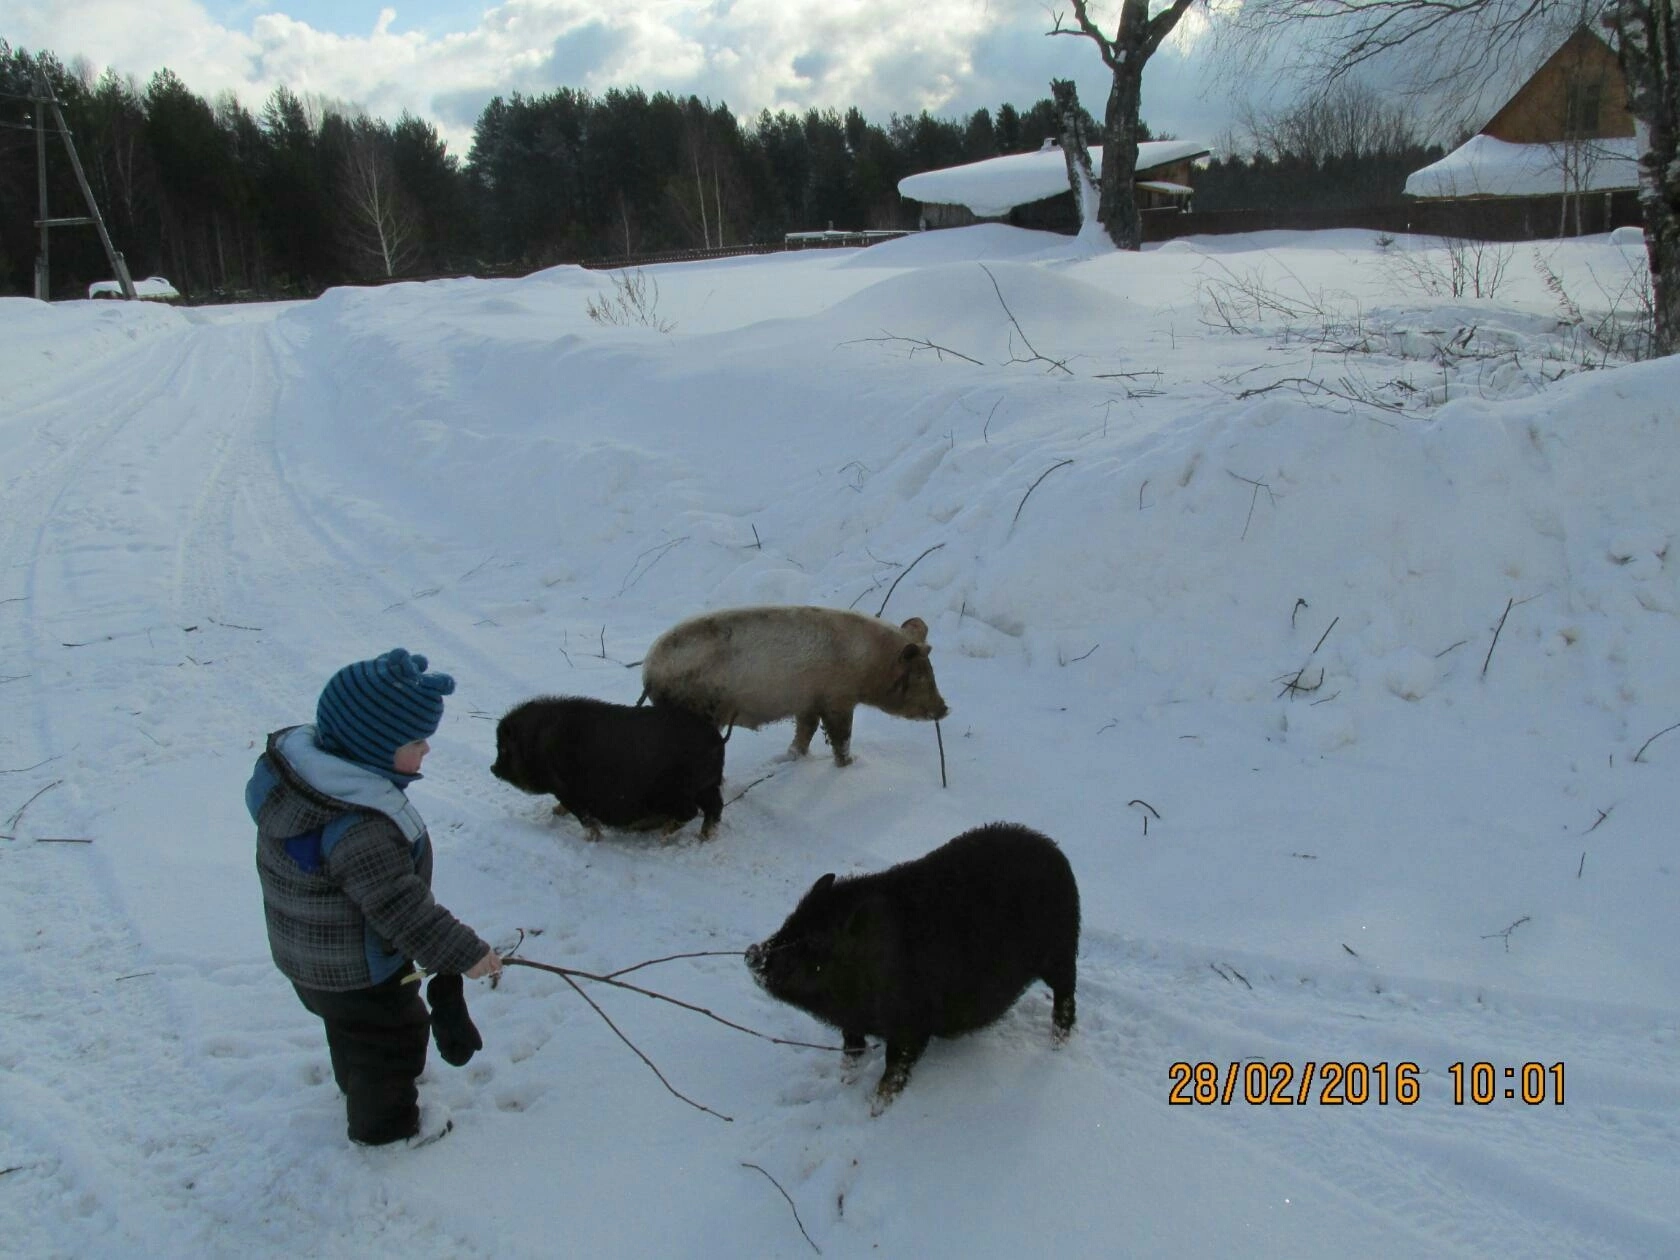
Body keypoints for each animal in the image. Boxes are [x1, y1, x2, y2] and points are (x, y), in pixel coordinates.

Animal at [487, 695, 722, 843]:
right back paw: (703, 838)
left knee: (691, 811)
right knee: (714, 808)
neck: (535, 744)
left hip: (671, 792)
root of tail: (716, 740)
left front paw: (592, 839)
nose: (493, 768)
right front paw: (555, 812)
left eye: (503, 748)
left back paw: (665, 836)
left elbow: (584, 817)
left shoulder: (567, 791)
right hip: (707, 786)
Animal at [745, 829, 1075, 1115]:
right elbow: (852, 1051)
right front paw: (846, 1082)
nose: (752, 953)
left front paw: (875, 1110)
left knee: (1066, 995)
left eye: (816, 941)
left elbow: (896, 1065)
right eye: (789, 921)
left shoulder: (910, 1022)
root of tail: (1054, 848)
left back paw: (1057, 1045)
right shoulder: (852, 1023)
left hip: (1061, 951)